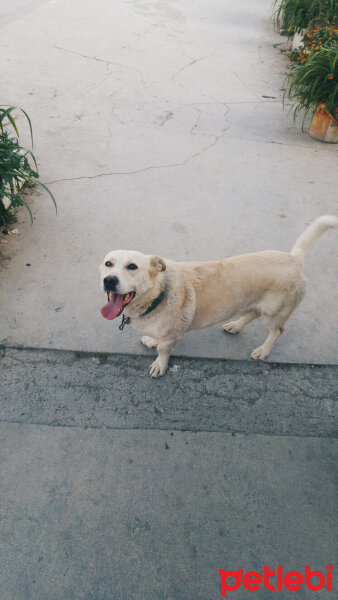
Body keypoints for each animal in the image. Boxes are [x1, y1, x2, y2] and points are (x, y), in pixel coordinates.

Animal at [99, 213, 336, 378]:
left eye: (132, 266)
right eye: (108, 263)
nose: (109, 280)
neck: (157, 296)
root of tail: (294, 258)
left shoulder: (170, 338)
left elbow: (163, 350)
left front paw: (159, 364)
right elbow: (156, 339)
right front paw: (150, 340)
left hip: (274, 314)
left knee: (277, 331)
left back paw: (263, 351)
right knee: (252, 314)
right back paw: (235, 326)